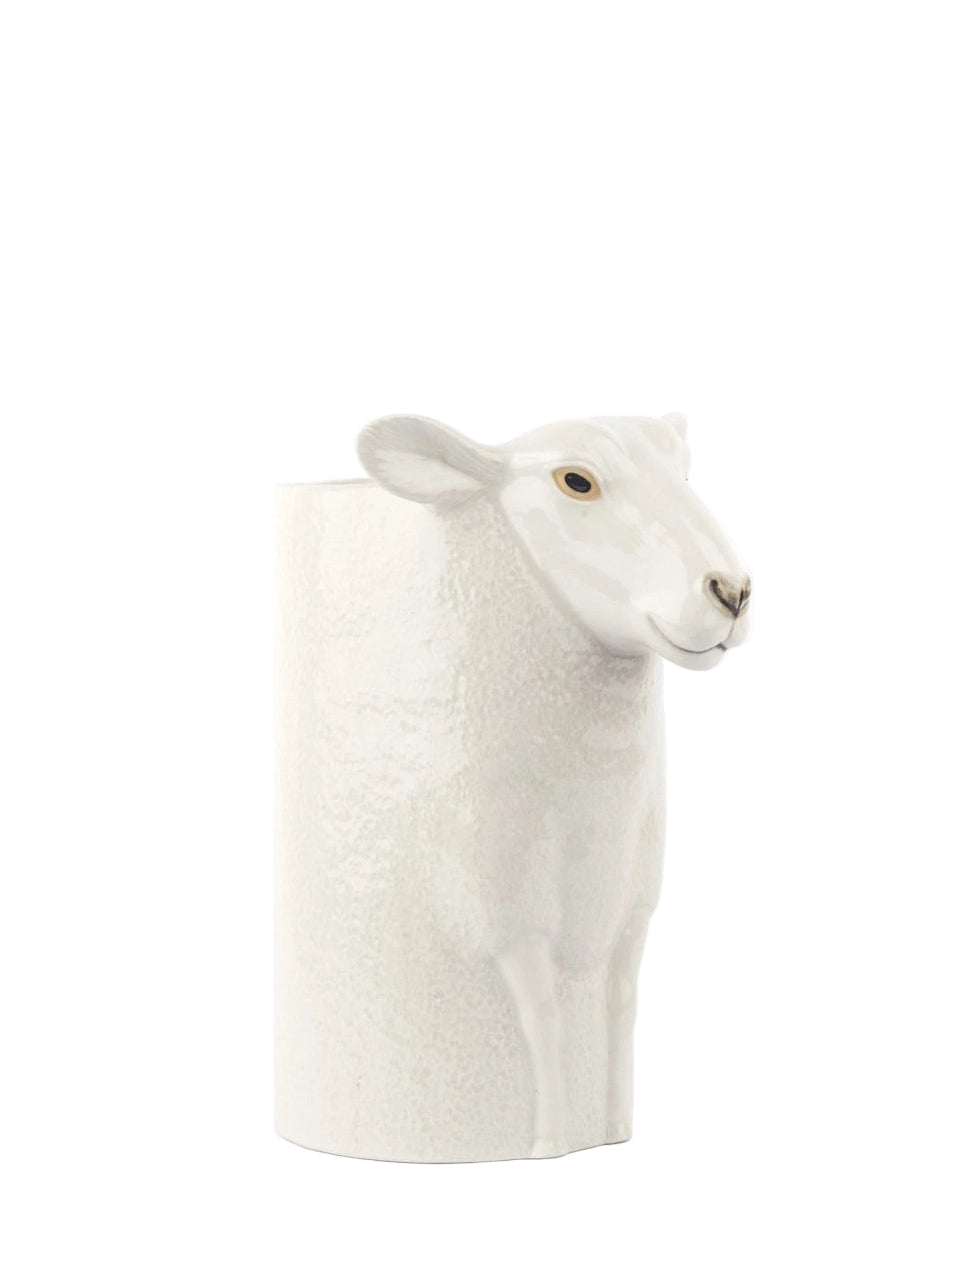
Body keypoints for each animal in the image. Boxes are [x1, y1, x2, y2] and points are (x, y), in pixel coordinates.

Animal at [275, 413, 751, 1161]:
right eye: (576, 480)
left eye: (683, 472)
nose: (730, 591)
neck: (589, 794)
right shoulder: (504, 911)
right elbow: (543, 1016)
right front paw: (550, 1139)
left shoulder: (633, 909)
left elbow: (620, 1004)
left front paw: (611, 1127)